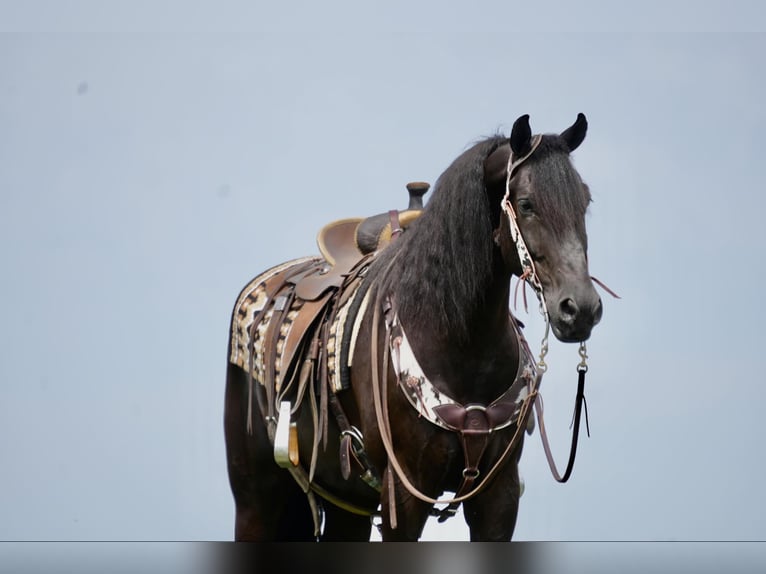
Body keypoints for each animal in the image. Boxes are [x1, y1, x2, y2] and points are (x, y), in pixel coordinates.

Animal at [223, 113, 604, 541]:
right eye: (526, 204)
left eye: (584, 201)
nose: (580, 309)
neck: (461, 347)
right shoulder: (405, 494)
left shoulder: (498, 494)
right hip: (256, 499)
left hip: (347, 504)